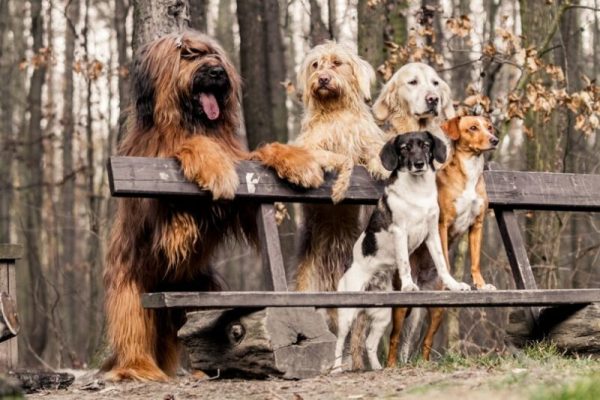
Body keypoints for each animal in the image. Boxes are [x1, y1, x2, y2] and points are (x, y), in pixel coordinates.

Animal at [105, 31, 326, 382]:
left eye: (213, 54)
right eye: (186, 54)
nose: (217, 72)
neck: (193, 123)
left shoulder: (243, 195)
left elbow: (255, 160)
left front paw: (297, 161)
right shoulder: (156, 204)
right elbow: (192, 149)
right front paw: (214, 166)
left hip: (204, 291)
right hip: (130, 287)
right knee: (132, 327)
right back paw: (138, 368)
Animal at [292, 43, 386, 316]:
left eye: (336, 63)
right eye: (316, 65)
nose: (323, 78)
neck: (336, 109)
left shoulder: (365, 140)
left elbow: (374, 153)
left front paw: (381, 169)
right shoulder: (309, 148)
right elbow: (344, 159)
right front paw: (340, 188)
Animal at [332, 131, 468, 372]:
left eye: (426, 145)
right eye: (404, 148)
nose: (419, 163)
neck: (417, 192)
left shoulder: (432, 234)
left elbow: (442, 264)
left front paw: (454, 285)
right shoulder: (400, 232)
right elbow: (404, 263)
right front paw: (408, 286)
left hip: (382, 316)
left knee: (369, 343)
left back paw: (378, 368)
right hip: (347, 314)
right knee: (339, 342)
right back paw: (337, 369)